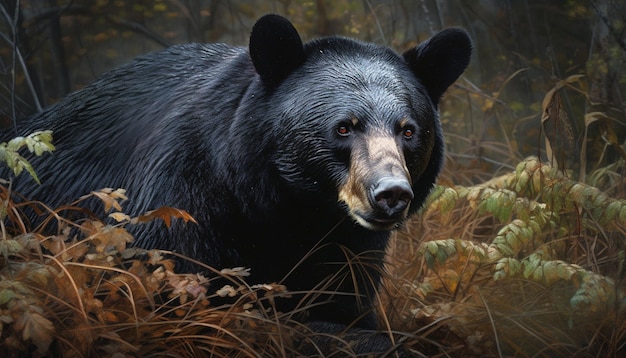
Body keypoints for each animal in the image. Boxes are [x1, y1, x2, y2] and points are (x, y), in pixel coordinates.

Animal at [1, 16, 468, 330]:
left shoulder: (351, 249)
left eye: (408, 130)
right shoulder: (178, 205)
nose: (391, 193)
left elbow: (343, 306)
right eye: (343, 127)